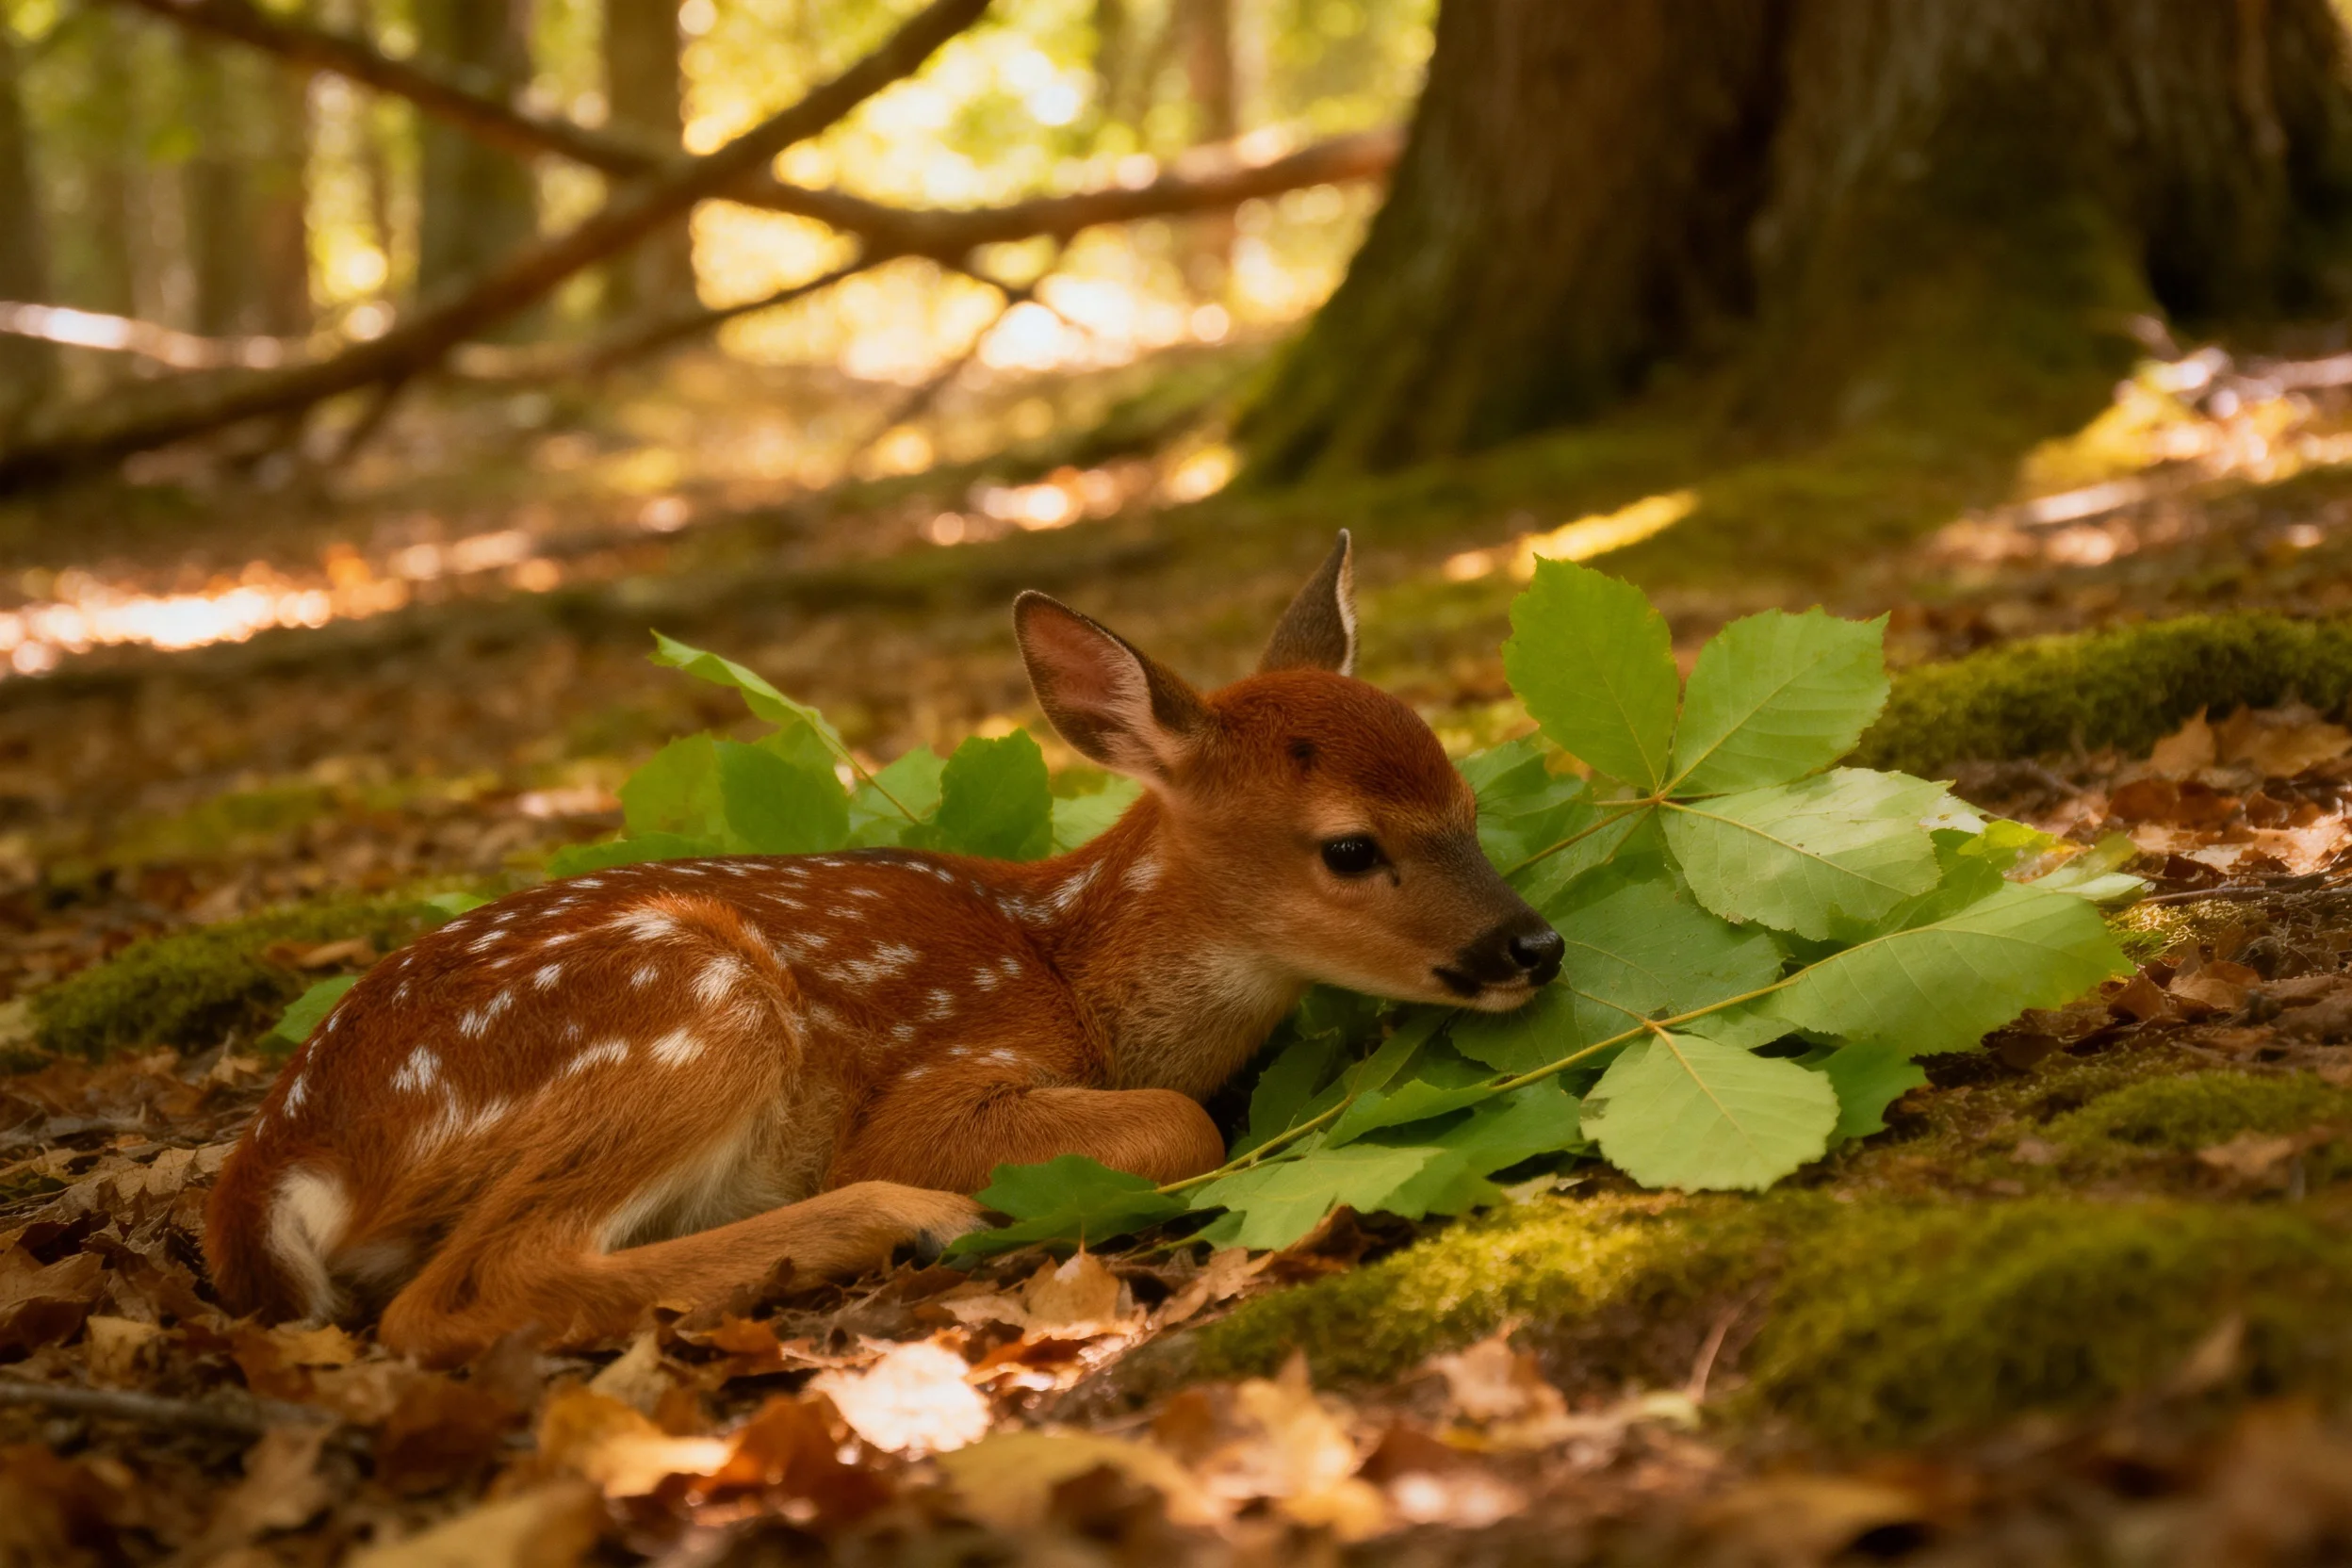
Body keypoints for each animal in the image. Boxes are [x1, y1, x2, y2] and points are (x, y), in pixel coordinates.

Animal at [203, 534, 1567, 1365]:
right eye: (1349, 847)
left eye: (1467, 803)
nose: (1535, 942)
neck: (1076, 971)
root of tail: (284, 1156)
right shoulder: (942, 1071)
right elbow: (1184, 1124)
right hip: (683, 1001)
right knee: (462, 1293)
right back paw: (909, 1222)